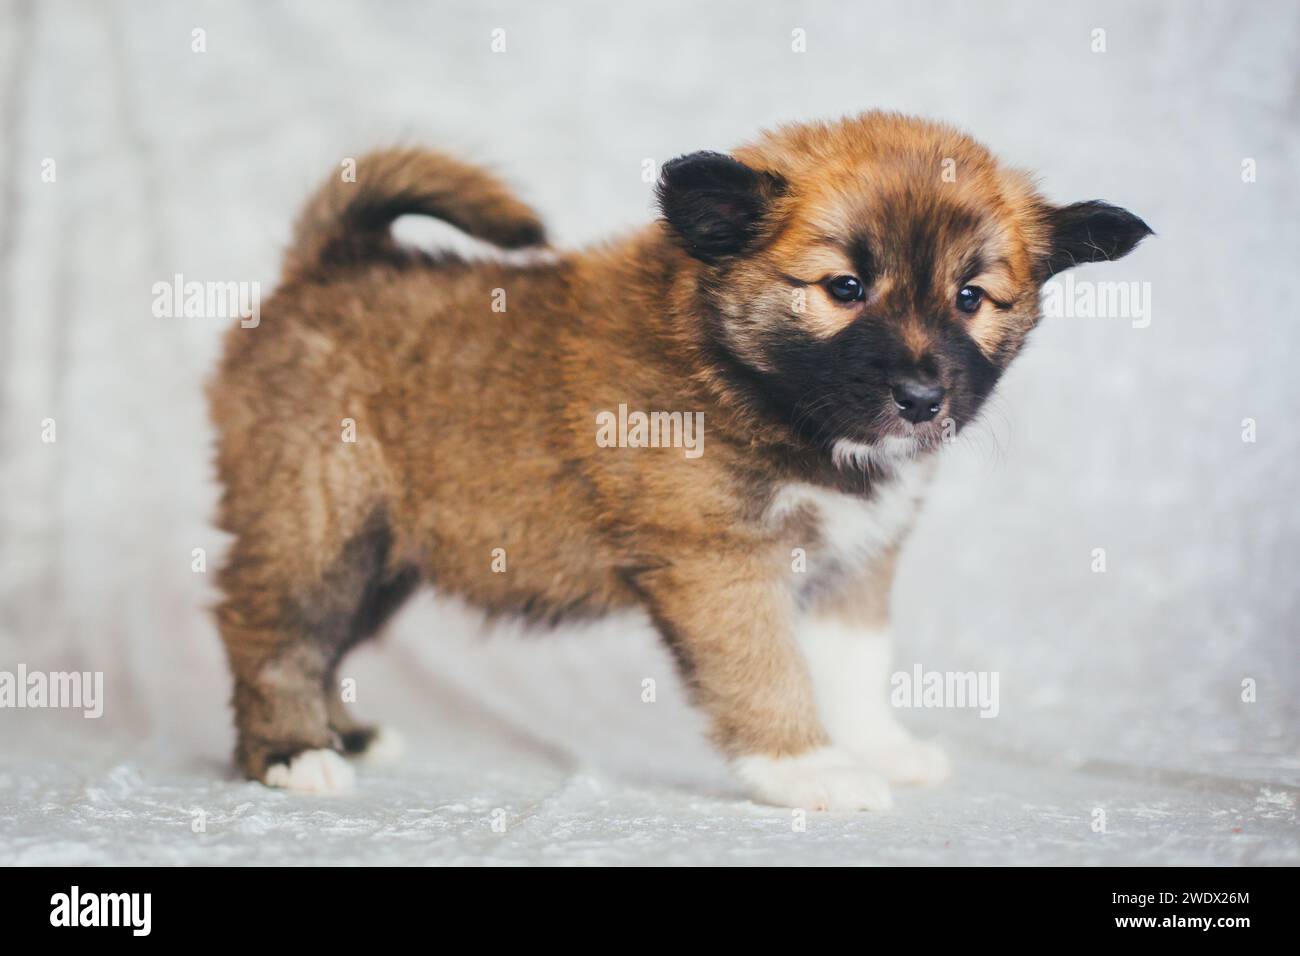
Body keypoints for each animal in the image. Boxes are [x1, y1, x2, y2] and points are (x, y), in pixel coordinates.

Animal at [208, 115, 1154, 811]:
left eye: (971, 298)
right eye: (844, 288)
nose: (922, 397)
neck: (749, 381)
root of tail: (326, 265)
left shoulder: (853, 565)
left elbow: (854, 668)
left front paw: (877, 748)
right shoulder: (721, 564)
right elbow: (766, 670)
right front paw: (806, 767)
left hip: (384, 555)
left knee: (326, 638)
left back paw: (341, 733)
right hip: (319, 522)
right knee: (274, 631)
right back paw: (292, 753)